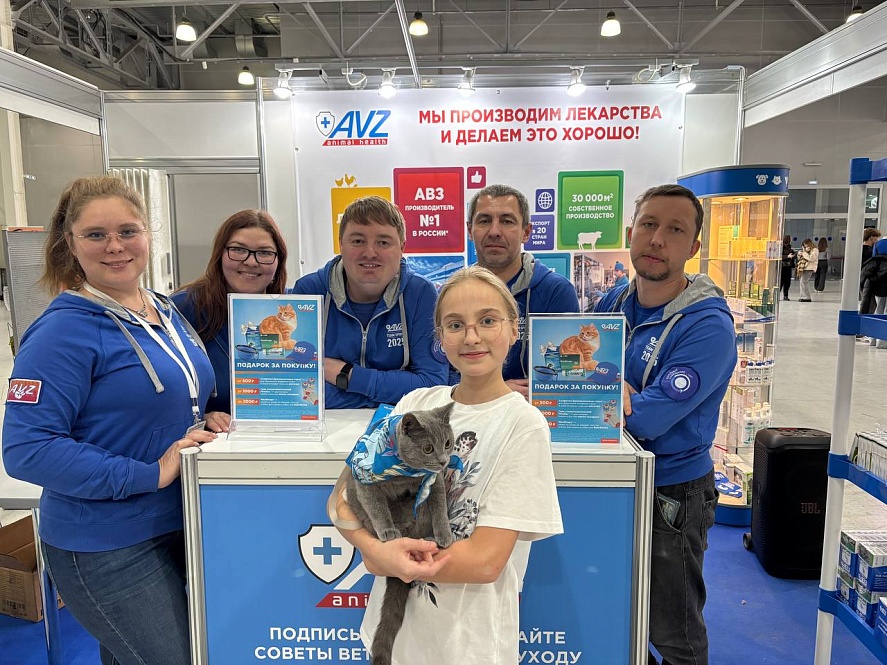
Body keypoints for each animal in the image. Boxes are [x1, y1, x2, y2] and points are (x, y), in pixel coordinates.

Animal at [345, 402, 459, 665]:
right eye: (428, 448)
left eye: (448, 443)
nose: (443, 461)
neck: (403, 472)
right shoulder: (365, 483)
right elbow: (377, 507)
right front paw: (388, 531)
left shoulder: (433, 481)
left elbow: (440, 507)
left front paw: (444, 535)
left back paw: (428, 538)